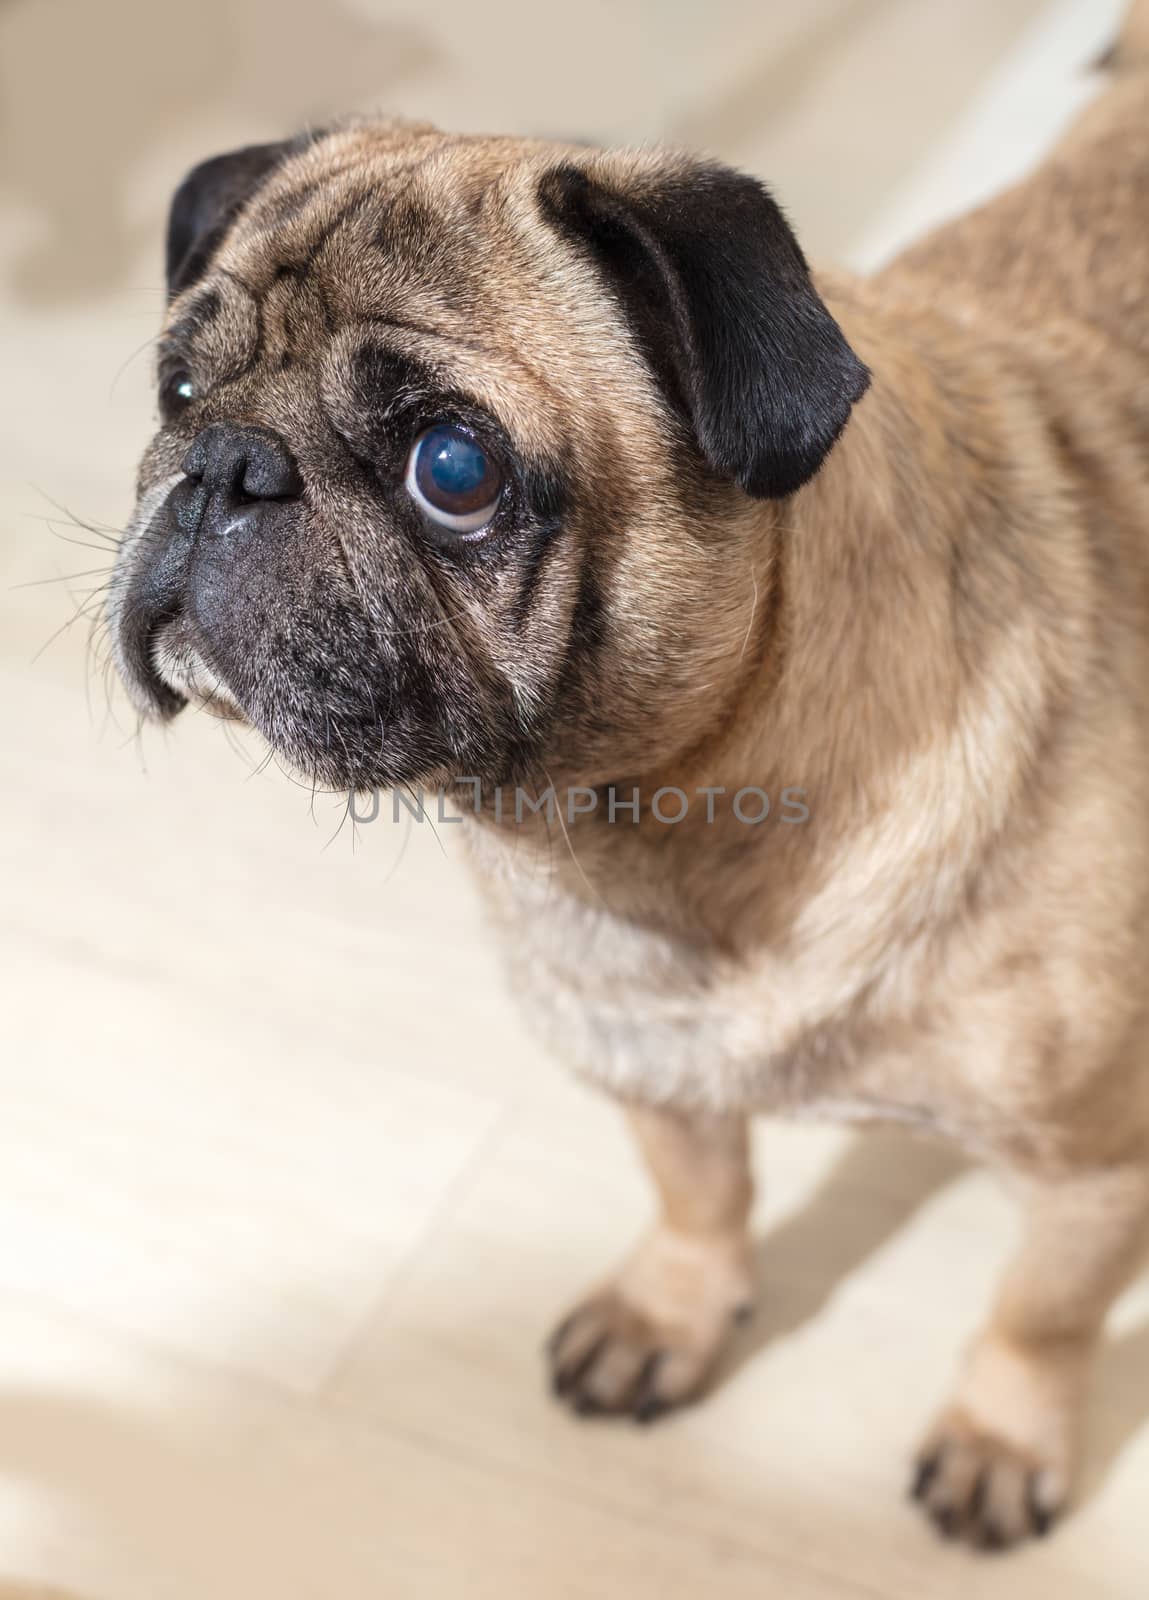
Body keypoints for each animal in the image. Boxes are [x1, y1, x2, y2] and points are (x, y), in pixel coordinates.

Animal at [112, 0, 1149, 1548]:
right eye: (175, 389)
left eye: (454, 468)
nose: (222, 465)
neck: (657, 839)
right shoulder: (645, 1061)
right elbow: (697, 1195)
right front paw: (673, 1316)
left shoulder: (1092, 1166)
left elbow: (1039, 1316)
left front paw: (999, 1437)